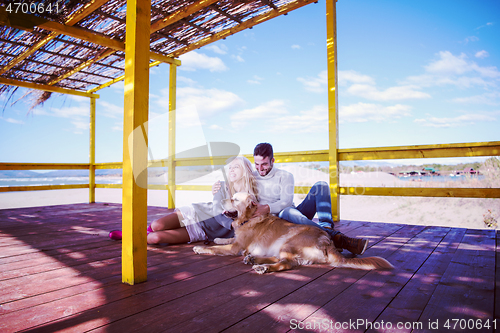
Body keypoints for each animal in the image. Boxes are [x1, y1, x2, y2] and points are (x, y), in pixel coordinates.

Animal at [193, 191, 392, 274]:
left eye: (234, 199)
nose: (219, 201)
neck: (249, 218)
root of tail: (327, 240)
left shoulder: (236, 247)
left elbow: (215, 249)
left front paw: (200, 248)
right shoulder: (236, 242)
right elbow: (223, 241)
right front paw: (217, 239)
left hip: (288, 242)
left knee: (286, 264)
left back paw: (262, 267)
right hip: (282, 246)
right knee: (282, 260)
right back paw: (254, 259)